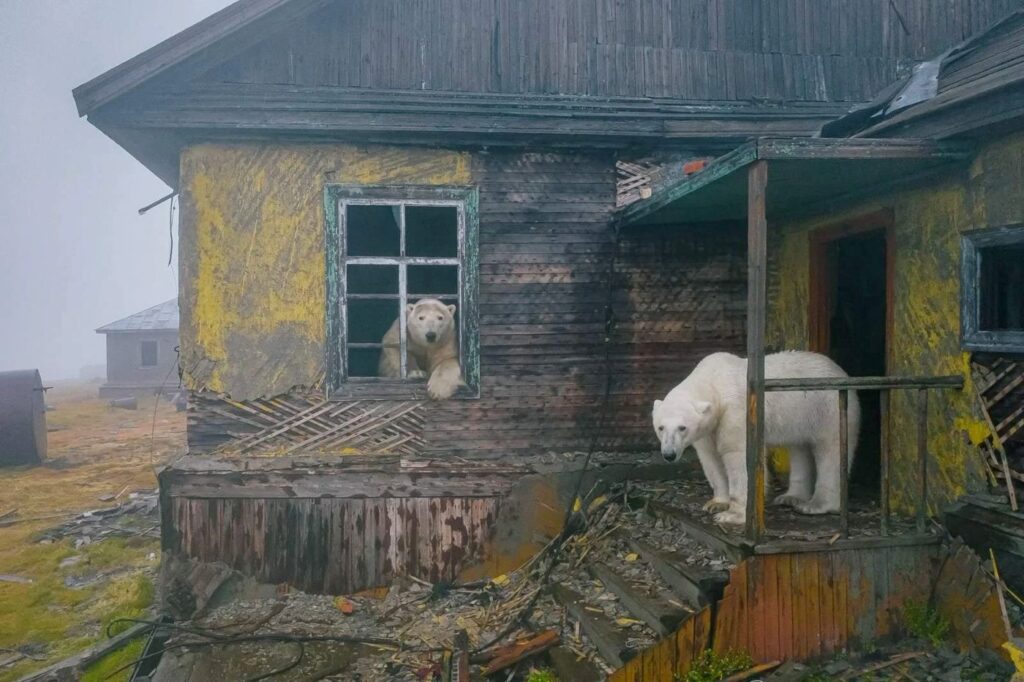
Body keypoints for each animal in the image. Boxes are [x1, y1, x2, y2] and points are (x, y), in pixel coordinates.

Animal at [652, 351, 860, 526]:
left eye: (682, 427)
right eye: (661, 427)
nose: (669, 454)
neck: (714, 382)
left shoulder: (736, 412)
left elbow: (739, 457)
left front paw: (732, 515)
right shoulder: (709, 428)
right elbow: (710, 459)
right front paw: (716, 503)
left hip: (827, 407)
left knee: (831, 451)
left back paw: (815, 505)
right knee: (799, 448)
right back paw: (791, 497)